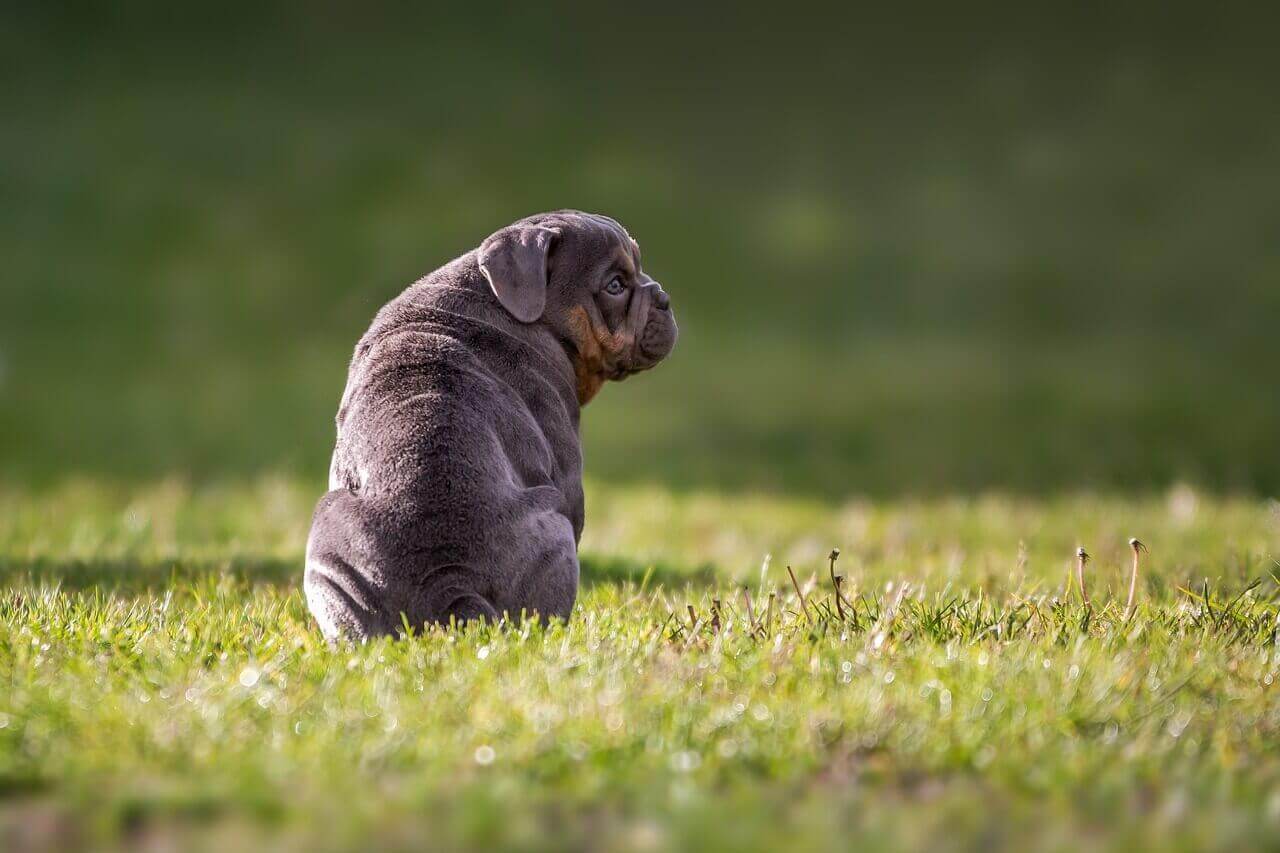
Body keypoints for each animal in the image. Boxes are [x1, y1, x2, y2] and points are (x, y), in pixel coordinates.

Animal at [303, 211, 675, 637]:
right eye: (615, 285)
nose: (664, 297)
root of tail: (448, 580)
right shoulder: (568, 475)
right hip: (556, 528)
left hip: (329, 549)